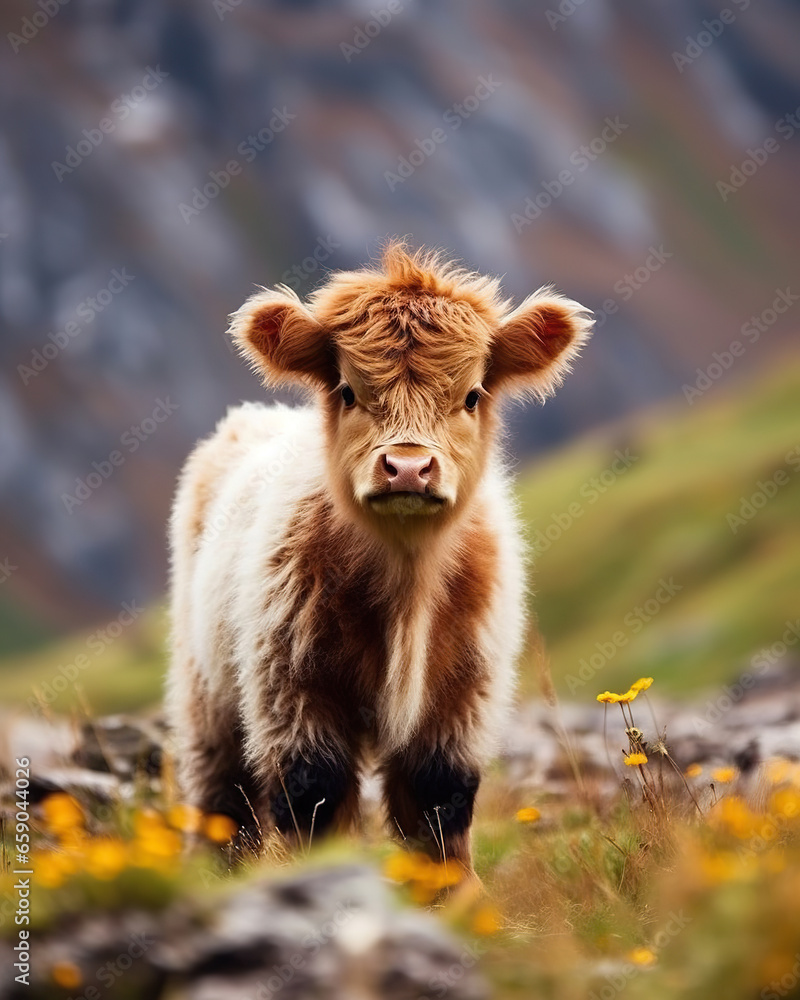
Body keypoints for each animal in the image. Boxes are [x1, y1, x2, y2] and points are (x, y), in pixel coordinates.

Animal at [166, 242, 592, 878]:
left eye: (471, 395)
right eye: (347, 390)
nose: (409, 467)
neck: (406, 582)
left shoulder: (462, 698)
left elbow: (440, 803)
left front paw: (456, 893)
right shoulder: (292, 692)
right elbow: (313, 800)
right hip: (208, 692)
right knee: (223, 801)